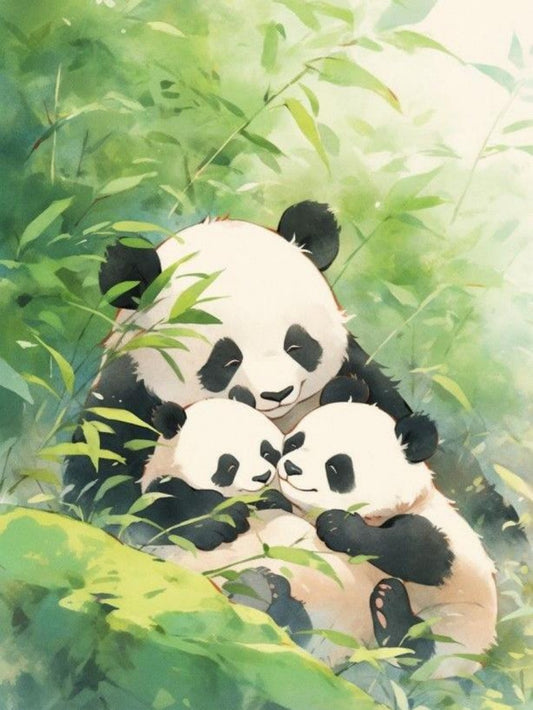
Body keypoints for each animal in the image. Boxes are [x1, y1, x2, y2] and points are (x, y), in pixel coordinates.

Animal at [63, 201, 438, 547]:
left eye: (296, 344)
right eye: (227, 360)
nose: (277, 394)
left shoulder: (359, 373)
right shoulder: (130, 392)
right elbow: (103, 489)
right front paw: (212, 519)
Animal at [277, 378, 498, 678]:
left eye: (336, 466)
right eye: (296, 441)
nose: (291, 467)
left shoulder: (437, 528)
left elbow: (421, 552)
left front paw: (336, 525)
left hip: (461, 621)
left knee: (428, 649)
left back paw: (389, 609)